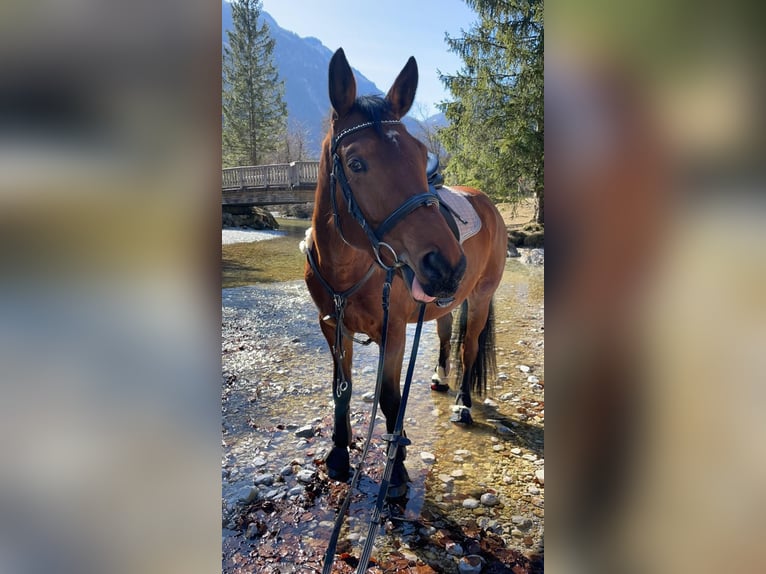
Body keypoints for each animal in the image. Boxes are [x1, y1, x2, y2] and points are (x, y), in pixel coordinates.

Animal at [304, 48, 507, 498]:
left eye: (418, 155)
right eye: (356, 163)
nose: (447, 264)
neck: (349, 271)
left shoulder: (393, 333)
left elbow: (390, 401)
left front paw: (395, 472)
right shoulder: (333, 327)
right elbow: (341, 392)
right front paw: (339, 455)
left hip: (480, 296)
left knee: (469, 348)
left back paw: (463, 403)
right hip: (445, 301)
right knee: (446, 333)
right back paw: (439, 376)